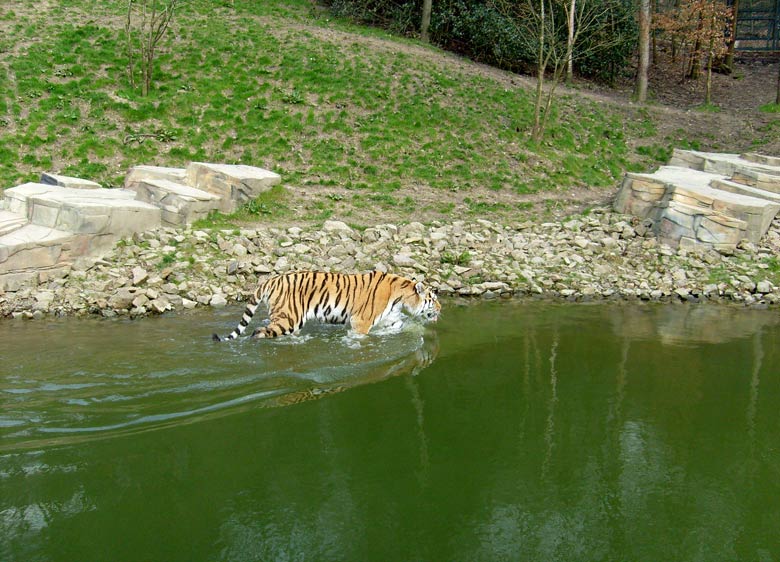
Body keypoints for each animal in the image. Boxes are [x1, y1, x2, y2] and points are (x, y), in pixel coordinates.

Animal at [213, 270, 442, 340]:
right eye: (433, 298)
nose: (441, 309)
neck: (400, 298)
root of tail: (271, 279)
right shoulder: (361, 321)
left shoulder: (391, 319)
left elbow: (402, 326)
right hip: (289, 318)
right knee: (259, 332)